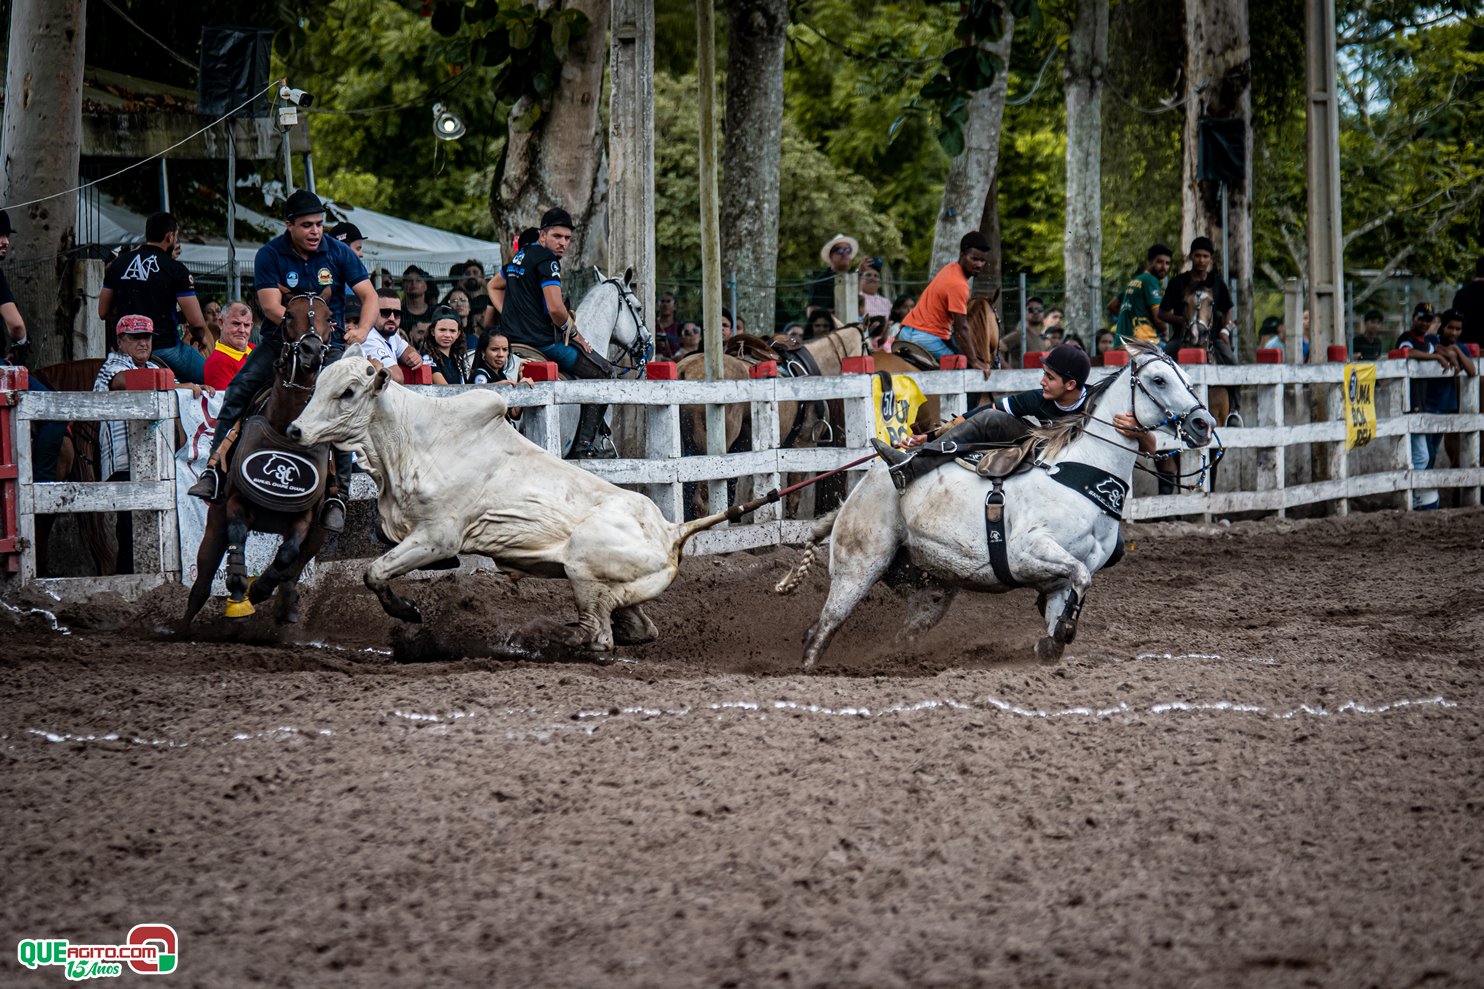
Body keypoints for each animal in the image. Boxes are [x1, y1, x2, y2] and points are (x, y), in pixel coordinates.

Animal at [182, 289, 336, 623]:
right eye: (288, 315)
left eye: (330, 317)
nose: (310, 352)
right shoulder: (235, 503)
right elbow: (238, 534)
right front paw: (239, 587)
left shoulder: (304, 519)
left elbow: (287, 555)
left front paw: (261, 588)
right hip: (213, 526)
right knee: (199, 588)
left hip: (320, 534)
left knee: (293, 569)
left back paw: (286, 605)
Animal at [284, 350, 736, 650]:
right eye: (319, 384)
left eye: (348, 392)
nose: (295, 430)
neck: (412, 441)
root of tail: (671, 529)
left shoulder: (437, 538)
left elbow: (374, 572)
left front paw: (408, 610)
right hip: (621, 590)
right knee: (637, 628)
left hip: (583, 571)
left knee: (598, 637)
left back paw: (547, 637)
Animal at [783, 343, 1210, 665]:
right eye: (1159, 379)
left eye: (1189, 381)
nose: (1202, 424)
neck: (1082, 472)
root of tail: (857, 492)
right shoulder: (1027, 552)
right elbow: (1079, 578)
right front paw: (1060, 633)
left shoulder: (1065, 577)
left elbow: (1075, 589)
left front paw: (1054, 638)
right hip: (857, 568)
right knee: (820, 630)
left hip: (929, 589)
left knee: (898, 632)